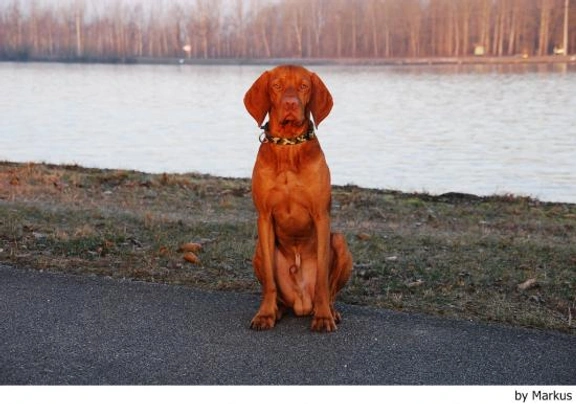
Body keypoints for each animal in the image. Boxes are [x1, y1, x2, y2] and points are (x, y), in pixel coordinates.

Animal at [243, 65, 352, 332]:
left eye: (304, 86)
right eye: (277, 85)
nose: (291, 103)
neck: (289, 147)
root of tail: (301, 303)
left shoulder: (322, 216)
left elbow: (322, 279)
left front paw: (323, 317)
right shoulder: (264, 217)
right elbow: (270, 282)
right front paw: (265, 314)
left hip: (340, 241)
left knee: (330, 291)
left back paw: (330, 311)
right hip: (259, 249)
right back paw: (277, 309)